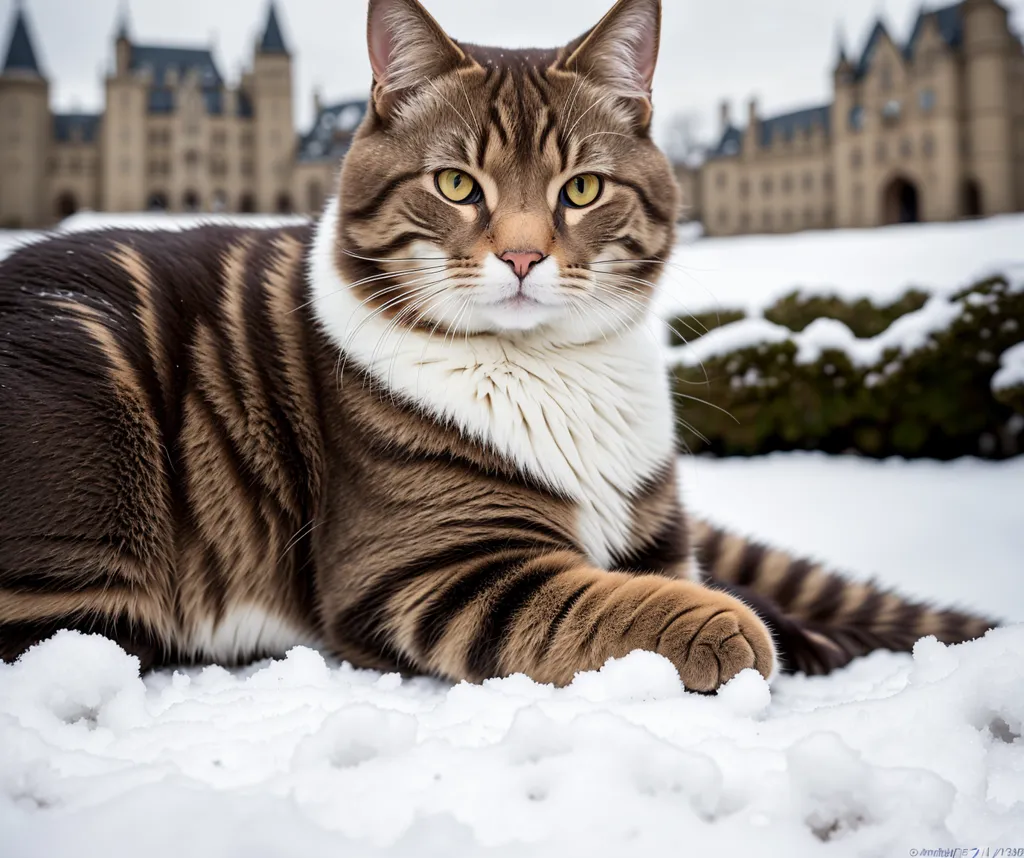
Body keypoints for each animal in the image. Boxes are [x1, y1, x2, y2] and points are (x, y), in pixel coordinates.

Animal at [0, 0, 991, 688]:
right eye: (455, 184)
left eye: (582, 189)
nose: (521, 255)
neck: (559, 371)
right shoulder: (429, 568)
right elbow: (593, 601)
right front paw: (731, 631)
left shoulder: (662, 536)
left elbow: (709, 582)